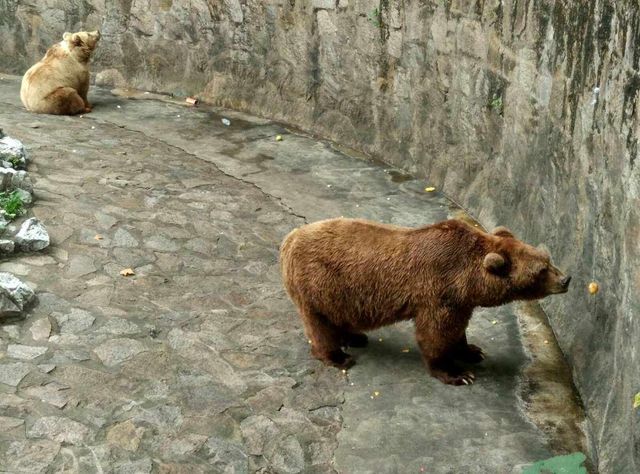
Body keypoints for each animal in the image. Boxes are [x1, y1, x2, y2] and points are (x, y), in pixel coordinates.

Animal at [280, 218, 568, 386]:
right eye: (541, 270)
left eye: (546, 258)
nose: (566, 279)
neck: (470, 278)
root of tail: (289, 239)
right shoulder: (439, 292)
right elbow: (435, 333)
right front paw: (457, 373)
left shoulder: (460, 300)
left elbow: (457, 330)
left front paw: (472, 350)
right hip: (319, 282)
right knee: (319, 322)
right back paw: (338, 356)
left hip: (340, 292)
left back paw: (355, 337)